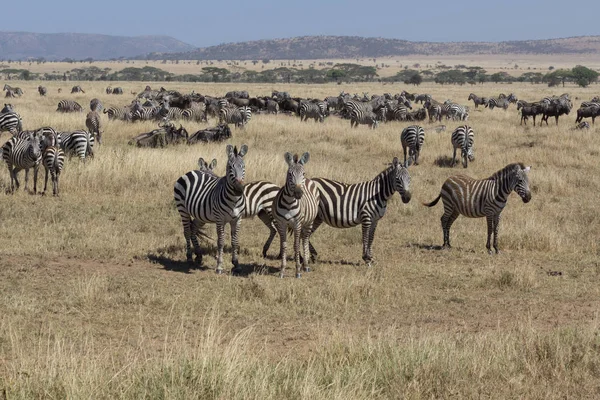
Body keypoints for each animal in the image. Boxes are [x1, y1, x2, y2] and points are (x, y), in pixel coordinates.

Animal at [173, 145, 248, 274]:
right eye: (230, 167)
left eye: (243, 166)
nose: (239, 189)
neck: (234, 199)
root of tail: (191, 172)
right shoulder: (220, 219)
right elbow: (221, 241)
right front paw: (219, 266)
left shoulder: (237, 219)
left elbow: (235, 241)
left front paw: (236, 264)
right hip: (183, 209)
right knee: (187, 231)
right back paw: (189, 257)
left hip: (200, 215)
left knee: (193, 229)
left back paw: (198, 256)